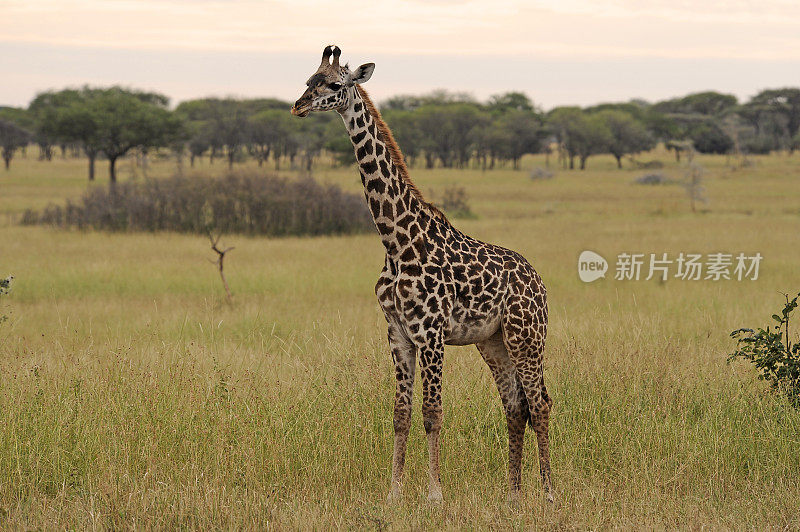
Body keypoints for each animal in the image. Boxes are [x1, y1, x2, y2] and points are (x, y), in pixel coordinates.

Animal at [290, 45, 552, 502]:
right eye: (309, 80)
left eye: (335, 84)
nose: (298, 106)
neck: (397, 243)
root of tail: (539, 283)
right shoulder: (397, 332)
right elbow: (400, 413)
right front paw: (394, 492)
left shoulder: (430, 332)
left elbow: (432, 413)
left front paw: (434, 494)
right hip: (493, 342)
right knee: (515, 405)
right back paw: (513, 494)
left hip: (527, 336)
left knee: (540, 404)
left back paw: (550, 492)